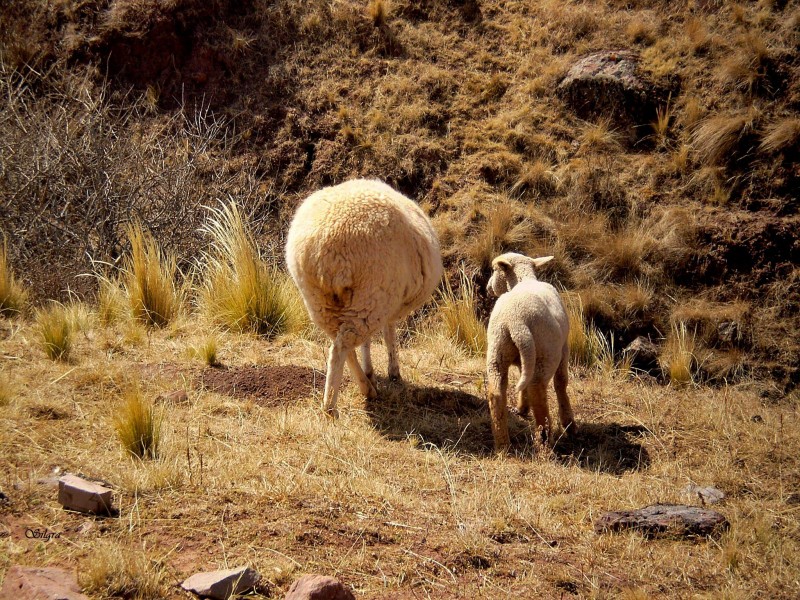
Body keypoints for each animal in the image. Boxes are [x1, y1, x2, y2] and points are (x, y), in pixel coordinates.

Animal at [286, 177, 444, 418]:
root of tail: (328, 251)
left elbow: (370, 342)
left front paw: (372, 370)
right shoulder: (389, 303)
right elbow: (389, 335)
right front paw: (393, 371)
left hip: (323, 302)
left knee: (342, 343)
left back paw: (365, 385)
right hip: (371, 297)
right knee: (340, 348)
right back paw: (332, 404)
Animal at [484, 252, 580, 450]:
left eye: (493, 271)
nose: (488, 287)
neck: (524, 279)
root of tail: (515, 321)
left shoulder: (526, 358)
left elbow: (524, 380)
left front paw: (521, 408)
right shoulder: (564, 348)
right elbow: (561, 383)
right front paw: (569, 424)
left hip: (498, 351)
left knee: (496, 392)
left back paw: (502, 443)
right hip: (545, 354)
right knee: (537, 389)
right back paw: (544, 440)